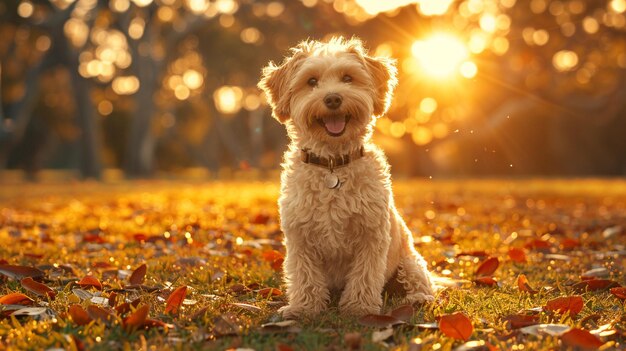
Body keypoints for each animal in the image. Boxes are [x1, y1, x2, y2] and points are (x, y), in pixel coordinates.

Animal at [256, 36, 432, 320]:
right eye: (311, 81)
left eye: (348, 78)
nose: (333, 98)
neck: (333, 165)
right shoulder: (300, 237)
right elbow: (305, 275)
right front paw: (304, 308)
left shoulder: (371, 236)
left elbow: (365, 275)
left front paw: (359, 308)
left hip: (410, 262)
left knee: (421, 283)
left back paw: (418, 298)